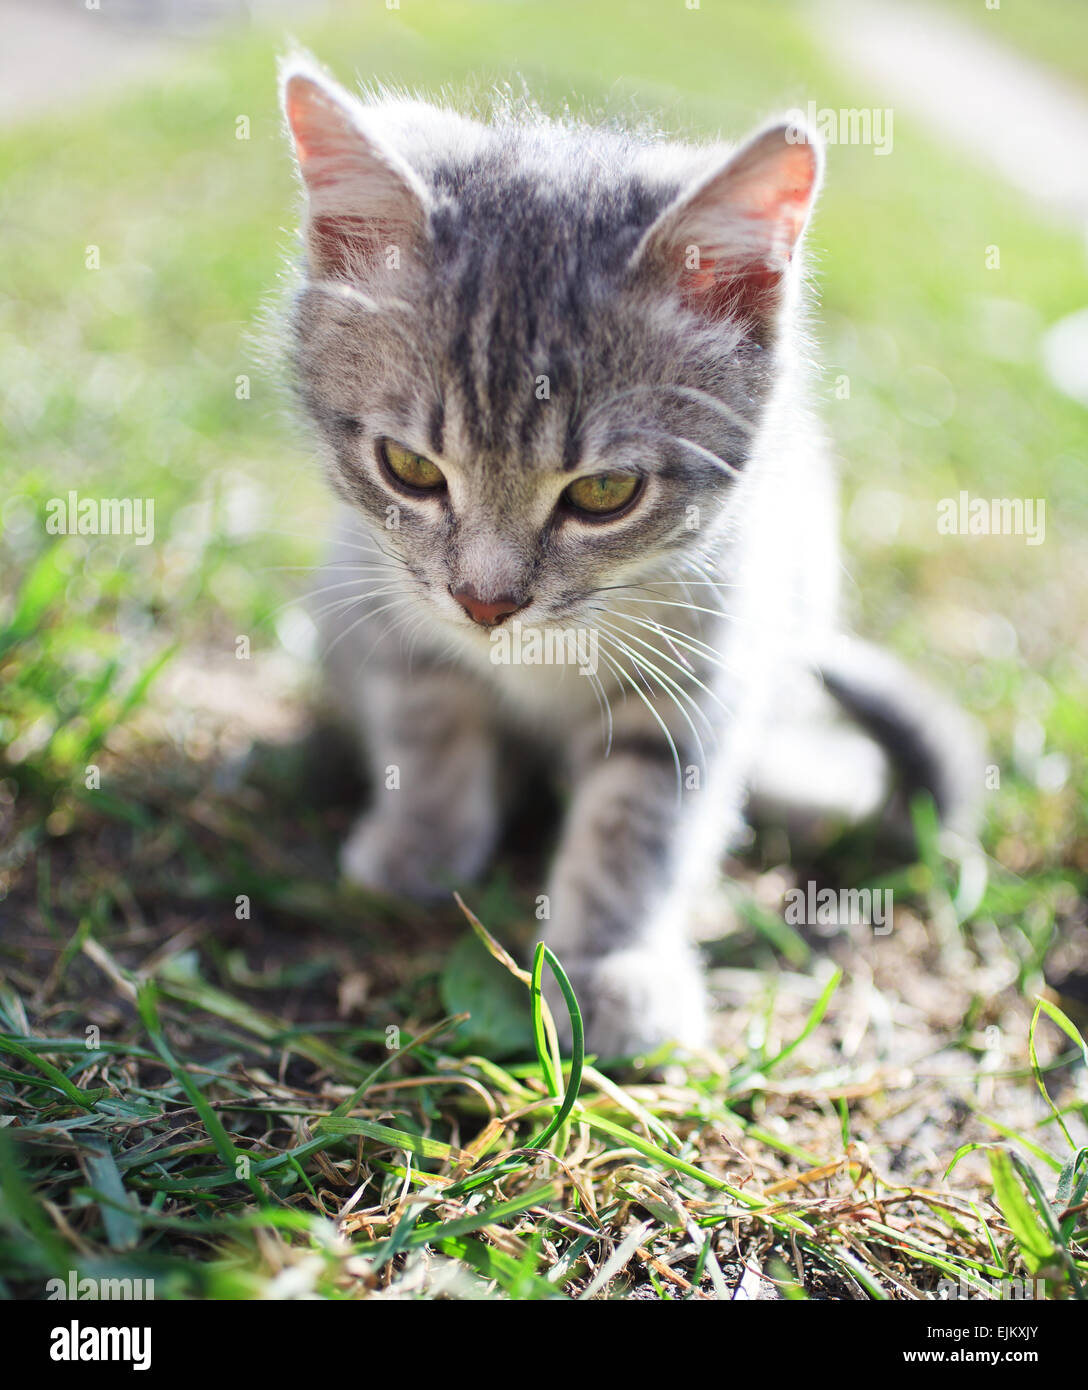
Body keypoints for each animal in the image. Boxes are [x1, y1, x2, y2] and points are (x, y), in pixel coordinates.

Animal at [279, 54, 978, 1050]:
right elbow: (429, 723)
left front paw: (610, 966)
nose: (487, 603)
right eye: (409, 469)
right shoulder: (392, 602)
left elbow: (637, 827)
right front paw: (423, 844)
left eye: (605, 493)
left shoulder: (700, 678)